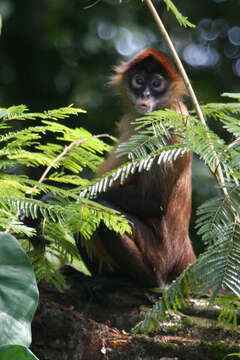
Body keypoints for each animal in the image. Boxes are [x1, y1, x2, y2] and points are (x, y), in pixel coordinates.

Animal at [77, 48, 197, 286]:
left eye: (157, 84)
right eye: (139, 81)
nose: (145, 95)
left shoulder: (168, 124)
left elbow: (155, 203)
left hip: (158, 257)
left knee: (101, 210)